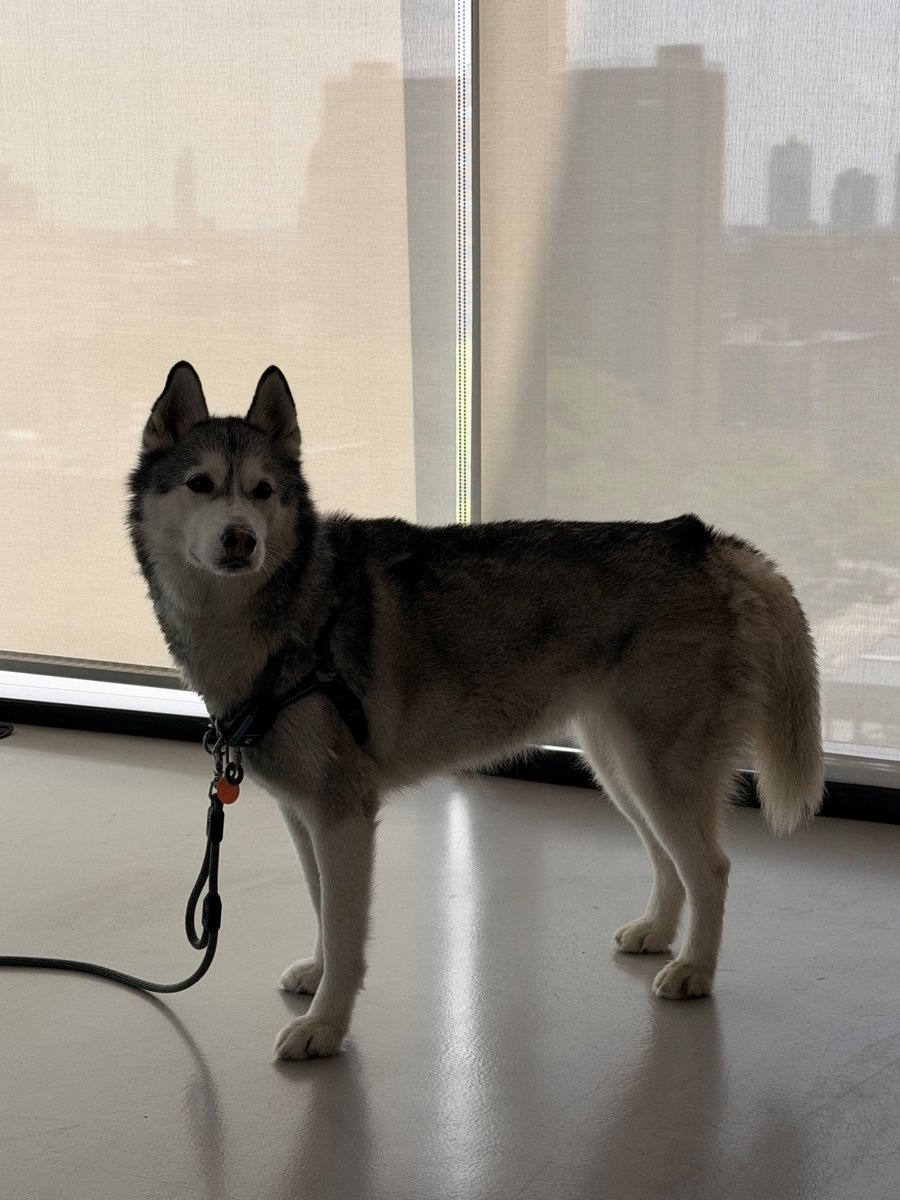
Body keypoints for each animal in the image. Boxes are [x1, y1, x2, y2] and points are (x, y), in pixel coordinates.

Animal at [128, 362, 823, 1060]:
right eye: (201, 484)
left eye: (262, 490)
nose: (240, 539)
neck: (289, 614)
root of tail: (704, 541)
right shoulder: (305, 815)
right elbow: (324, 909)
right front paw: (318, 979)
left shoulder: (342, 814)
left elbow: (347, 933)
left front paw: (325, 1025)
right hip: (622, 770)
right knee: (668, 860)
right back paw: (657, 932)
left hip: (658, 773)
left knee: (710, 867)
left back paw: (695, 971)